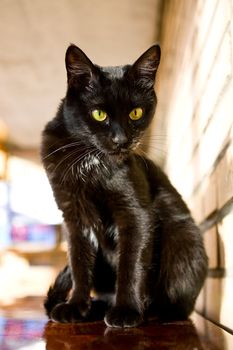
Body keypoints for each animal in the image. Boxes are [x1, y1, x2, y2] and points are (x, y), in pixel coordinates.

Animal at [40, 44, 208, 328]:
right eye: (99, 114)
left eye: (135, 112)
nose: (121, 140)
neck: (92, 163)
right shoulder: (73, 216)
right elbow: (79, 264)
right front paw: (75, 306)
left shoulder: (136, 213)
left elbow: (131, 262)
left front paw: (127, 310)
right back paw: (98, 307)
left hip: (184, 236)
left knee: (179, 305)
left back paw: (150, 310)